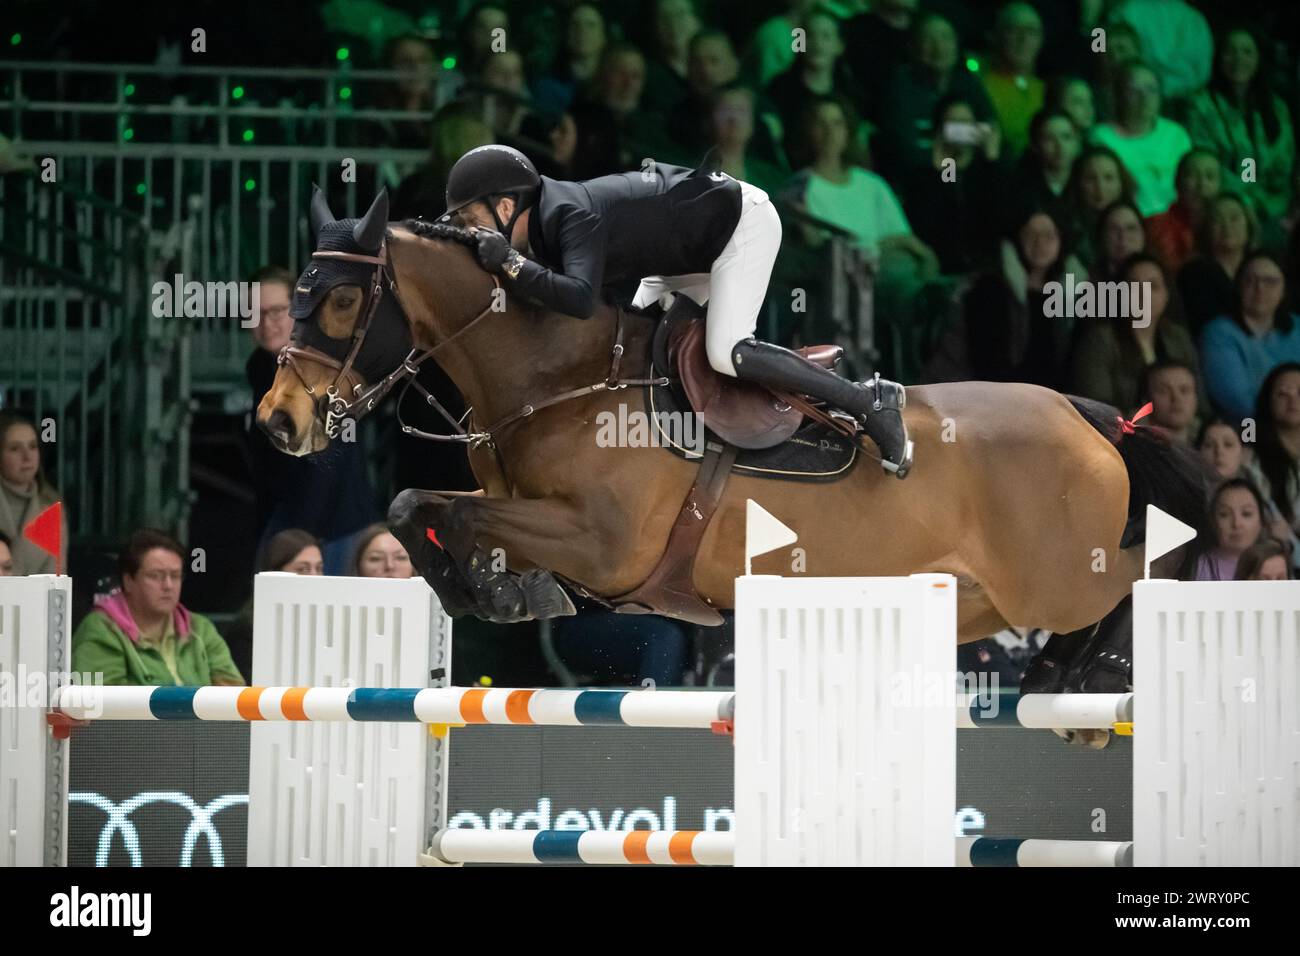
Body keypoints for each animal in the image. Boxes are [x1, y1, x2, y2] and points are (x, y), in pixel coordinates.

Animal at [253, 192, 1206, 681]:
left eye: (342, 300)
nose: (278, 422)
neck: (554, 377)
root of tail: (1085, 414)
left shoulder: (603, 543)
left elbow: (436, 506)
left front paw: (508, 593)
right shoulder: (521, 511)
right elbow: (420, 507)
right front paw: (501, 593)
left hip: (1062, 580)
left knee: (1146, 573)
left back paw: (1087, 674)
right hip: (980, 595)